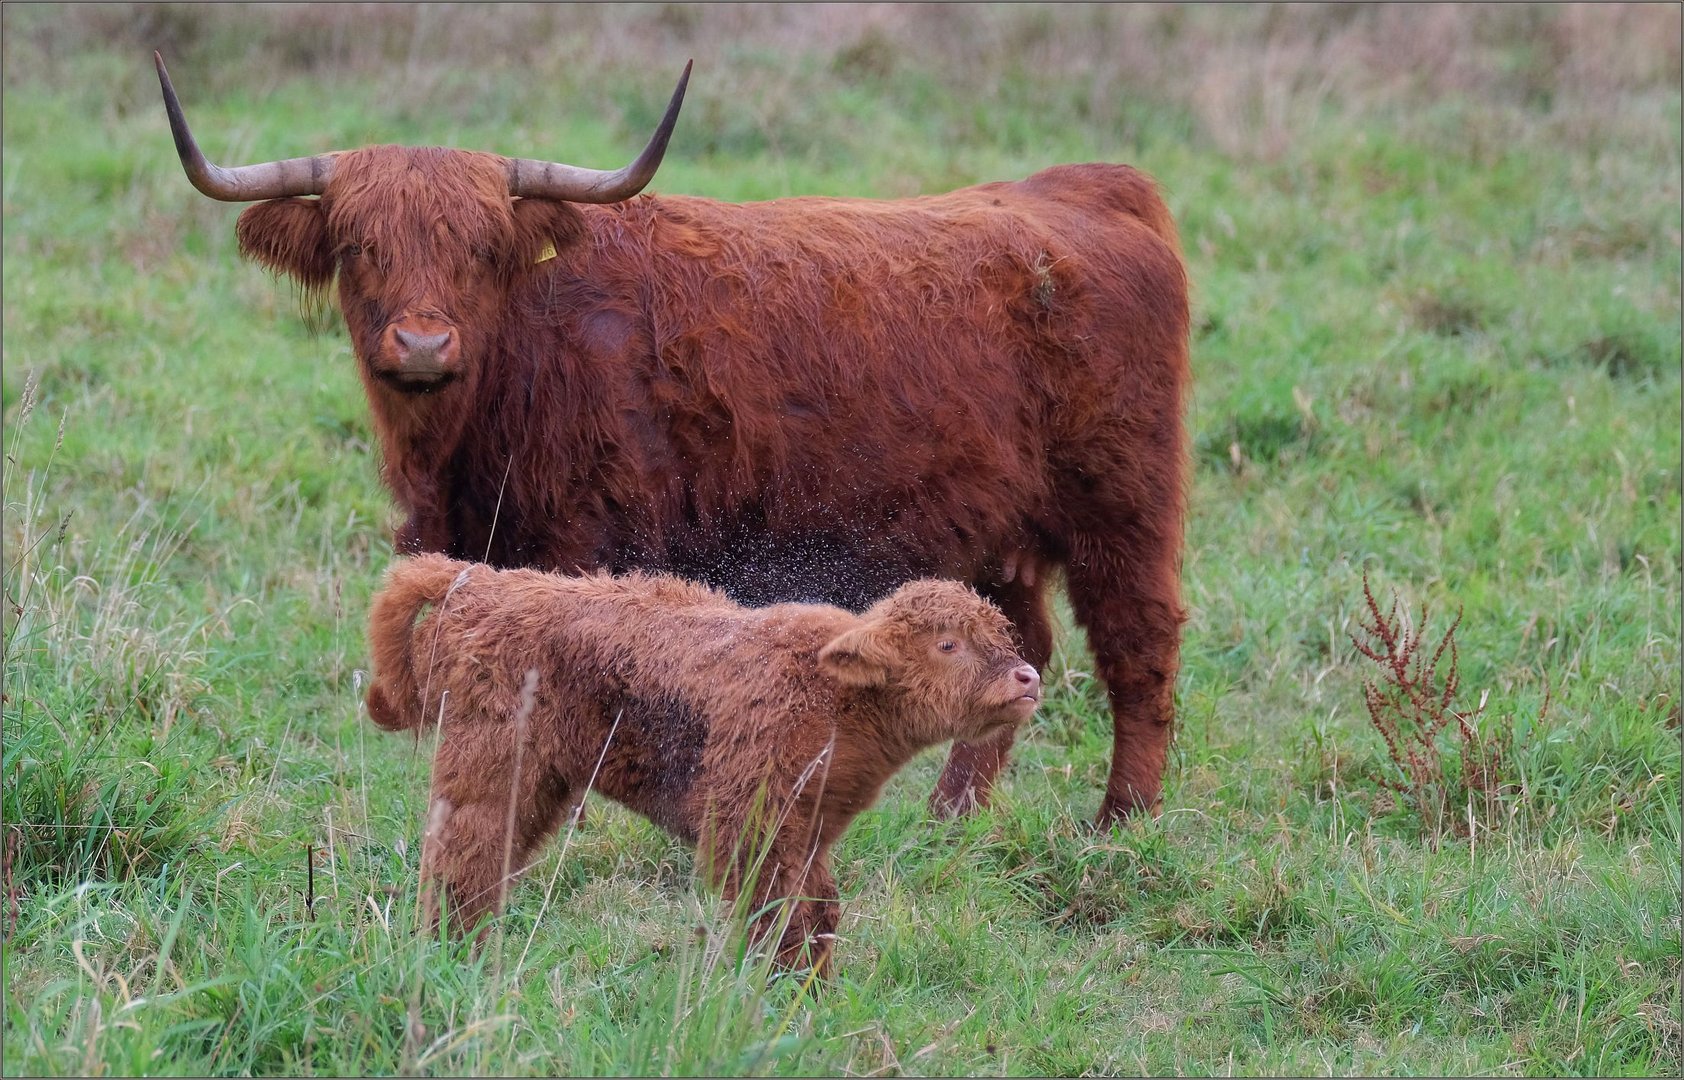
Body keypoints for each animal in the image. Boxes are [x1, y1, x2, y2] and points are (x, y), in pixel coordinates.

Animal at [365, 556, 1037, 970]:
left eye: (1000, 634)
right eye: (948, 644)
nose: (1027, 678)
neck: (836, 698)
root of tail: (480, 584)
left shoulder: (809, 833)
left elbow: (820, 910)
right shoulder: (750, 829)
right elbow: (781, 917)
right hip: (492, 765)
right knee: (464, 861)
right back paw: (454, 956)